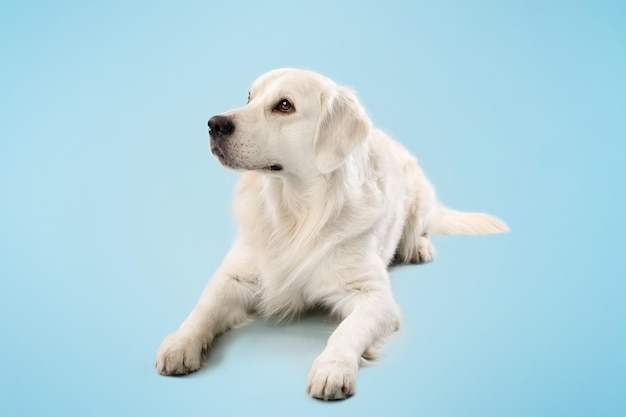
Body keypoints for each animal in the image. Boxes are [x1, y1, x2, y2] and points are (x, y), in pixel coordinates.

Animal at [156, 68, 508, 400]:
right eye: (249, 97)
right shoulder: (235, 275)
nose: (214, 124)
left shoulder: (372, 294)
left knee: (419, 227)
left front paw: (332, 368)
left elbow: (347, 331)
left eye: (284, 105)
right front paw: (180, 343)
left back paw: (418, 247)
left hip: (419, 192)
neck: (295, 214)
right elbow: (204, 308)